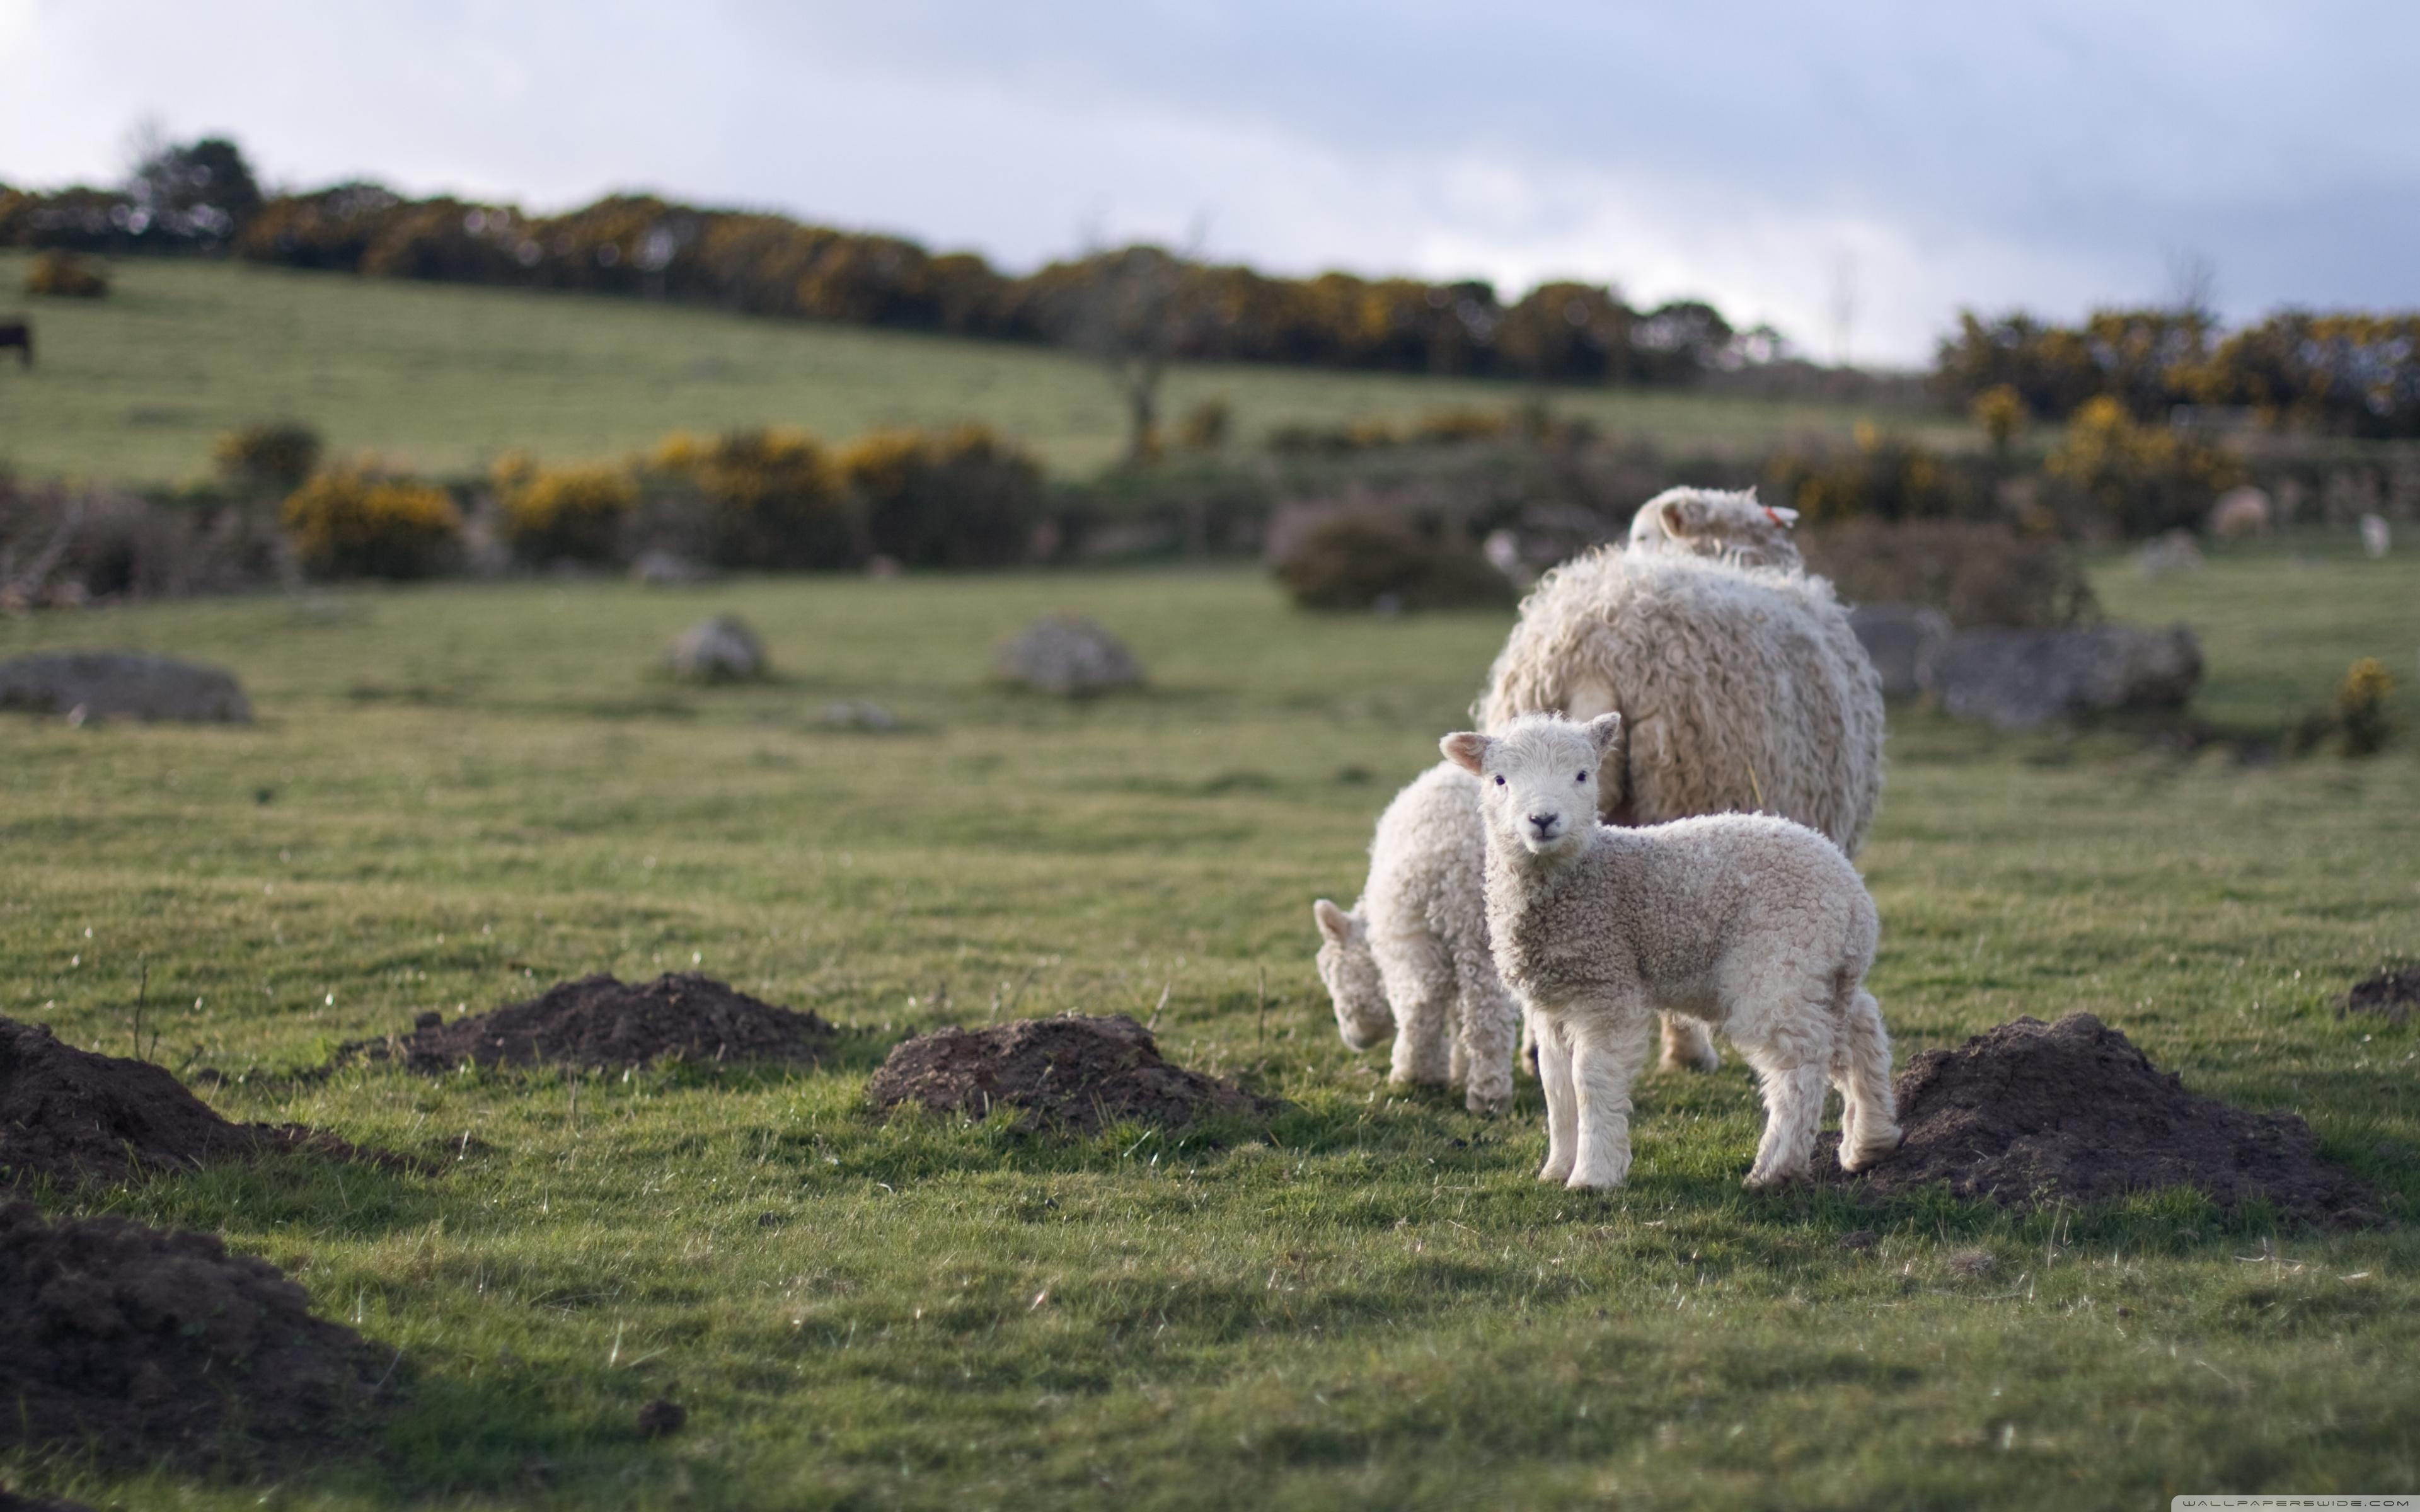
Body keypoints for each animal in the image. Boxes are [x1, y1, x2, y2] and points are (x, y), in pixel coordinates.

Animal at [1316, 764, 1732, 1108]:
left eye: (1332, 978)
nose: (1355, 1042)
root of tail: (1449, 857)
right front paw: (1454, 1070)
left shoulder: (1401, 941)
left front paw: (1439, 1072)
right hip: (1473, 934)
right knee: (1464, 1008)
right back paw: (1475, 1090)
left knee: (1446, 1006)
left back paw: (1443, 1084)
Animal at [1432, 711, 1906, 1190]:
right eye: (1499, 780)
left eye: (1583, 775)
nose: (1543, 819)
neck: (1581, 876)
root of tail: (1854, 895)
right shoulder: (1552, 1003)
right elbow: (1556, 1084)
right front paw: (1556, 1169)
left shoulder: (1606, 987)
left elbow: (1591, 1079)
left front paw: (1592, 1175)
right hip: (1820, 968)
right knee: (1860, 1027)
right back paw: (1870, 1141)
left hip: (1779, 960)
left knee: (1799, 1066)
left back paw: (1775, 1168)